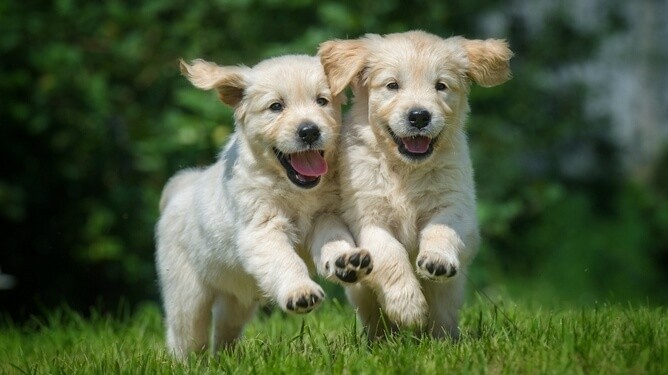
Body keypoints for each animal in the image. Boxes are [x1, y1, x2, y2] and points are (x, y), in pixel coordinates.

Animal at [158, 55, 376, 358]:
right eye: (276, 106)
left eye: (322, 101)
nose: (310, 131)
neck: (293, 187)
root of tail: (181, 187)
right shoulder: (262, 229)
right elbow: (285, 260)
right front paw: (299, 291)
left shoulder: (325, 215)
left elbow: (334, 238)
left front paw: (345, 260)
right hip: (187, 293)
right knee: (185, 336)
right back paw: (188, 362)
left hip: (237, 297)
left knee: (226, 327)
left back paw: (227, 358)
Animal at [318, 30, 512, 340]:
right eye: (392, 85)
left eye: (441, 86)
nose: (419, 116)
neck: (406, 170)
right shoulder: (366, 218)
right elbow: (389, 252)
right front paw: (407, 305)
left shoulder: (456, 207)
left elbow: (441, 230)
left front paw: (437, 260)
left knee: (443, 319)